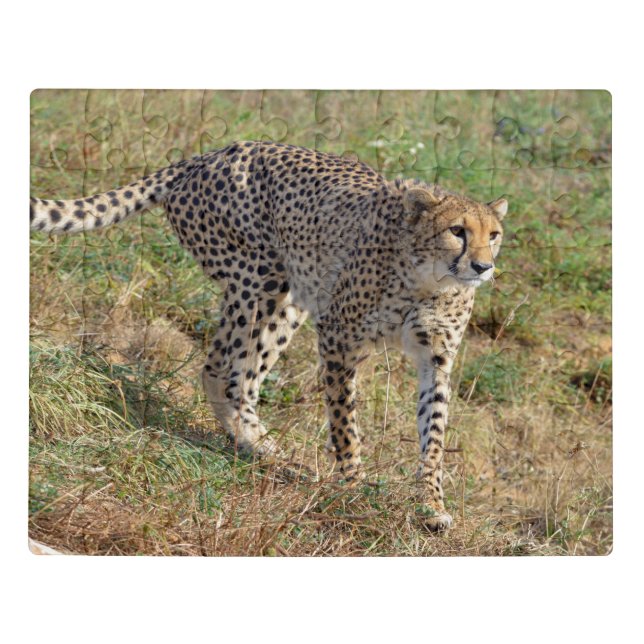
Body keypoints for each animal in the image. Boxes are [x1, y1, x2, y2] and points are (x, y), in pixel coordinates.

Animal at [30, 141, 507, 531]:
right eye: (457, 231)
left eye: (494, 235)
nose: (483, 266)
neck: (431, 281)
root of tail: (215, 152)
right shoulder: (338, 337)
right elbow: (345, 424)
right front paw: (353, 488)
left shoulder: (436, 358)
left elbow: (434, 435)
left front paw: (431, 505)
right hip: (258, 276)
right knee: (220, 367)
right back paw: (248, 439)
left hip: (290, 298)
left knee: (243, 375)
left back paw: (259, 445)